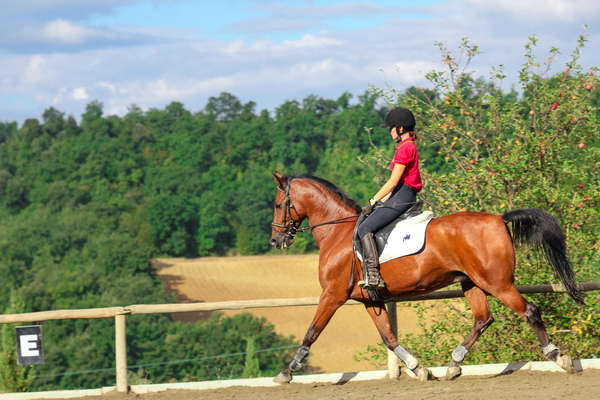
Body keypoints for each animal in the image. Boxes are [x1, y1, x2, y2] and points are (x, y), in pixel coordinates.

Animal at [270, 171, 584, 382]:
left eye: (277, 204)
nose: (275, 241)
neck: (337, 233)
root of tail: (498, 219)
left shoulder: (332, 294)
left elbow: (312, 331)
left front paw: (287, 371)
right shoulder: (370, 299)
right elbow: (388, 337)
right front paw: (418, 368)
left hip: (497, 283)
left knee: (529, 311)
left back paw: (560, 357)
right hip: (471, 282)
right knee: (483, 319)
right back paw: (454, 365)